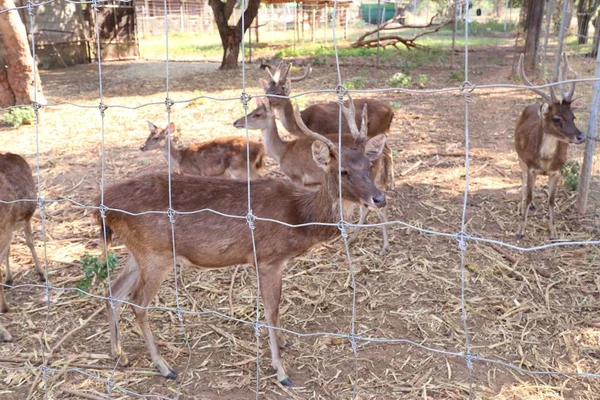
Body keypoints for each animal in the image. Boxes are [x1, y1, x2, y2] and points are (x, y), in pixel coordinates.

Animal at [232, 95, 392, 255]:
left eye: (256, 114)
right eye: (253, 111)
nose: (236, 122)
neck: (282, 153)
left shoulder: (296, 176)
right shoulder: (312, 184)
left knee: (372, 209)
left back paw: (380, 246)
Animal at [258, 61, 396, 189]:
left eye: (278, 93)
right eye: (266, 91)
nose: (264, 102)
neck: (300, 124)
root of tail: (391, 111)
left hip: (377, 129)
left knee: (387, 152)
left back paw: (390, 184)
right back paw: (385, 181)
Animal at [516, 54, 584, 241]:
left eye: (573, 117)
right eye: (556, 118)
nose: (580, 136)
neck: (545, 161)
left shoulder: (556, 171)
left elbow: (551, 200)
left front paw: (553, 232)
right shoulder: (531, 166)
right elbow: (529, 194)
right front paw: (520, 230)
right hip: (519, 157)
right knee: (522, 179)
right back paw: (521, 206)